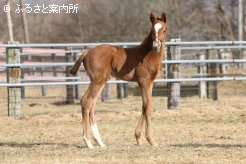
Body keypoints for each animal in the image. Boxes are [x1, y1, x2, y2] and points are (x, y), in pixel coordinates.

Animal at [70, 12, 168, 149]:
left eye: (164, 30)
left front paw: (138, 138)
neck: (147, 55)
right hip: (97, 80)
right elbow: (148, 107)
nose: (156, 46)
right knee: (86, 101)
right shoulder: (143, 81)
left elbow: (144, 106)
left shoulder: (150, 83)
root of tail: (87, 52)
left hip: (101, 81)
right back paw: (88, 142)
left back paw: (100, 142)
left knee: (92, 104)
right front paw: (151, 140)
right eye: (152, 30)